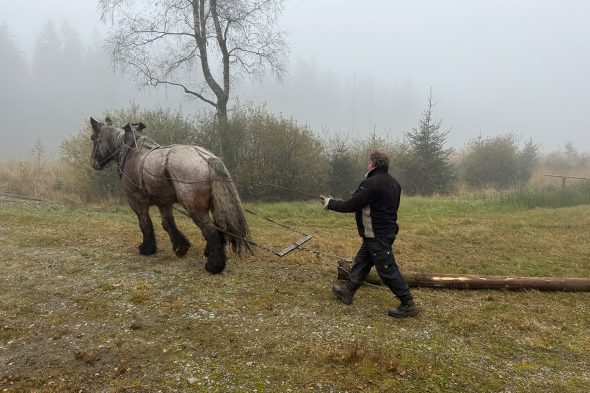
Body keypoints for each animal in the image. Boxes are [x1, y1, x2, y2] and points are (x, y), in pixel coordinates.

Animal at [89, 115, 252, 272]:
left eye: (93, 138)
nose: (93, 163)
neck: (130, 152)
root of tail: (206, 157)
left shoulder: (136, 201)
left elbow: (145, 223)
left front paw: (147, 248)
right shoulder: (164, 202)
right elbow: (167, 223)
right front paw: (181, 246)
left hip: (194, 207)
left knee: (211, 230)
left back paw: (214, 265)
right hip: (214, 204)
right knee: (219, 228)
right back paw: (210, 253)